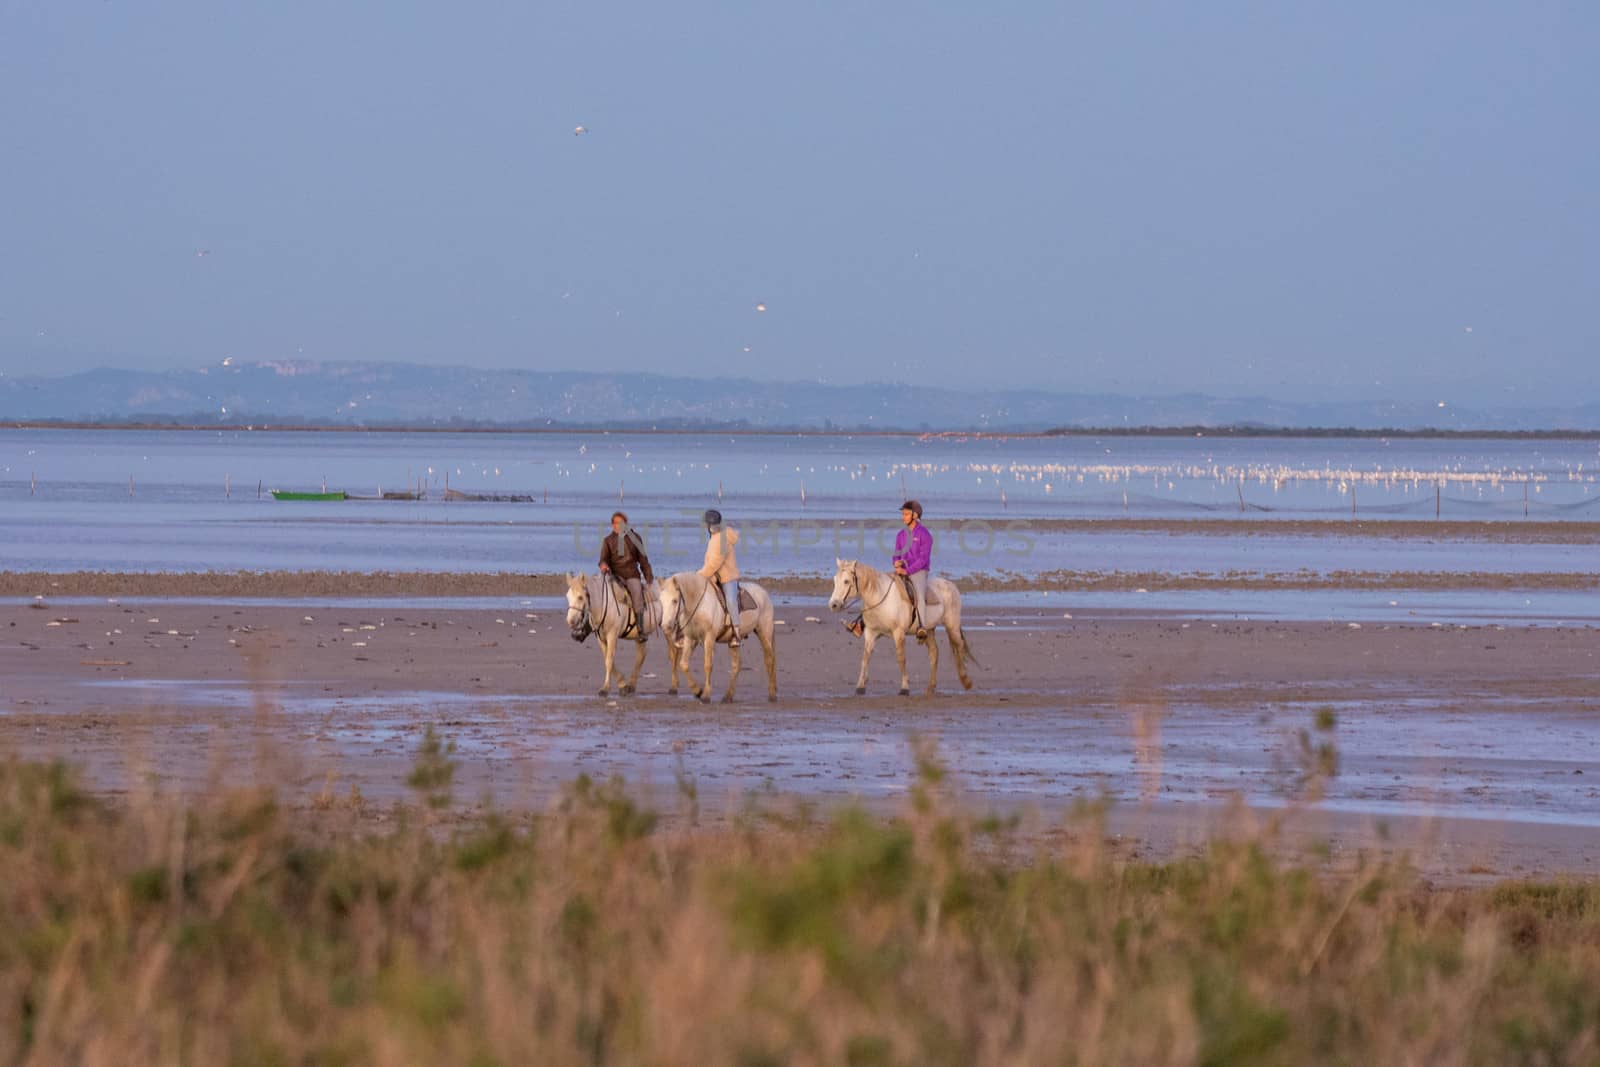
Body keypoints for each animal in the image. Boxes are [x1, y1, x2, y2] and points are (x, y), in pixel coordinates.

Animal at [659, 572, 777, 703]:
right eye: (661, 601)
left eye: (675, 601)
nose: (665, 626)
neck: (700, 604)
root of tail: (763, 593)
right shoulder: (690, 638)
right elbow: (683, 664)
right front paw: (697, 691)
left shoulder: (709, 638)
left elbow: (708, 665)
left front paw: (705, 695)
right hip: (734, 642)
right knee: (736, 665)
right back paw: (728, 696)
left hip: (764, 632)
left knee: (769, 659)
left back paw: (772, 694)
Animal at [825, 559, 972, 700]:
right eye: (835, 580)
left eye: (846, 581)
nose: (833, 605)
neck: (880, 598)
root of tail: (950, 585)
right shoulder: (871, 633)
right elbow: (865, 658)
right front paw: (860, 687)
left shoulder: (898, 633)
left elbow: (901, 659)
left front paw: (904, 688)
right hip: (929, 630)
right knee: (934, 653)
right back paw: (930, 688)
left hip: (952, 626)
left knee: (959, 647)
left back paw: (966, 681)